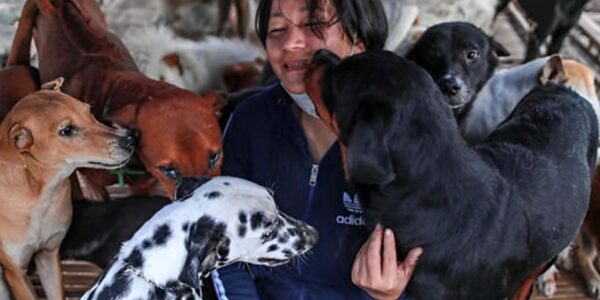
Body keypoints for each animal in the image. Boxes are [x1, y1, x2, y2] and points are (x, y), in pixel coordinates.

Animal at [0, 79, 135, 300]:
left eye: (89, 111)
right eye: (67, 130)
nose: (131, 139)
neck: (40, 193)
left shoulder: (49, 254)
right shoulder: (16, 273)